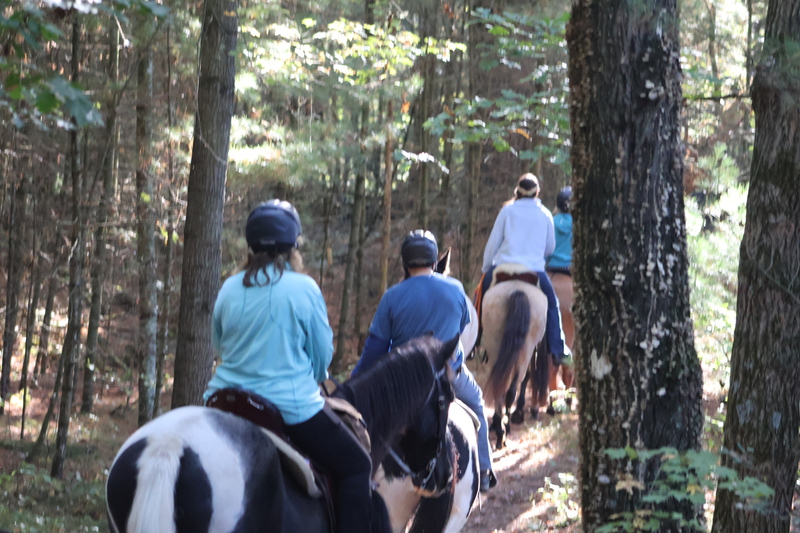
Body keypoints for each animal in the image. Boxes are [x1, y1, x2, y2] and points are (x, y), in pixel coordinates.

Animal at [475, 263, 548, 449]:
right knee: (511, 387)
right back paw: (504, 430)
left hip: (496, 346)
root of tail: (517, 289)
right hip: (524, 351)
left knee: (501, 388)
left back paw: (501, 431)